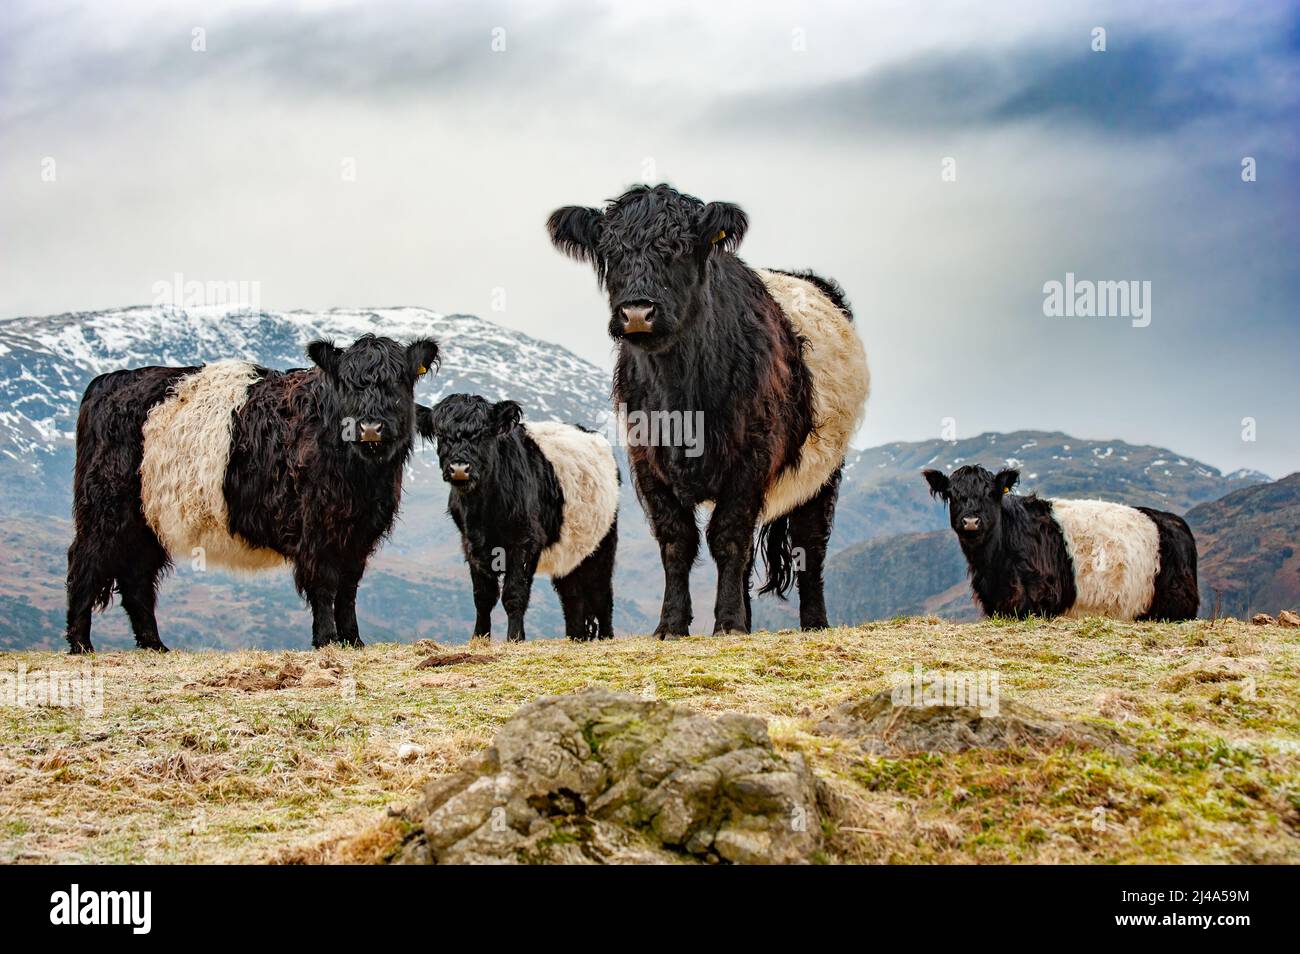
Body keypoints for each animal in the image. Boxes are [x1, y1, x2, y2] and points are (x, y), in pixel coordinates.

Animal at [64, 332, 441, 655]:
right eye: (348, 383)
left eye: (398, 380)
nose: (370, 428)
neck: (364, 476)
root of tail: (107, 381)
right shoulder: (315, 528)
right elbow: (324, 583)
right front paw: (326, 640)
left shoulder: (360, 531)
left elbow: (348, 587)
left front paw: (353, 639)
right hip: (106, 509)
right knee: (85, 562)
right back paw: (81, 644)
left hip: (146, 521)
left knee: (136, 578)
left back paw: (154, 645)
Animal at [416, 392, 618, 647]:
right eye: (441, 435)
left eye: (484, 433)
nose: (459, 468)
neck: (483, 511)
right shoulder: (471, 545)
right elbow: (483, 596)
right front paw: (479, 638)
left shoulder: (524, 541)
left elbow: (514, 593)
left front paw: (514, 638)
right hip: (570, 552)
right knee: (572, 598)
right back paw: (576, 638)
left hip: (602, 545)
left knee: (602, 594)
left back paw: (606, 637)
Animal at [543, 184, 868, 639]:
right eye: (610, 252)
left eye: (679, 249)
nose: (637, 313)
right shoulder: (647, 460)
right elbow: (676, 540)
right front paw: (671, 625)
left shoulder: (750, 459)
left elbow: (728, 538)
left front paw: (727, 623)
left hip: (824, 473)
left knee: (810, 543)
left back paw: (813, 623)